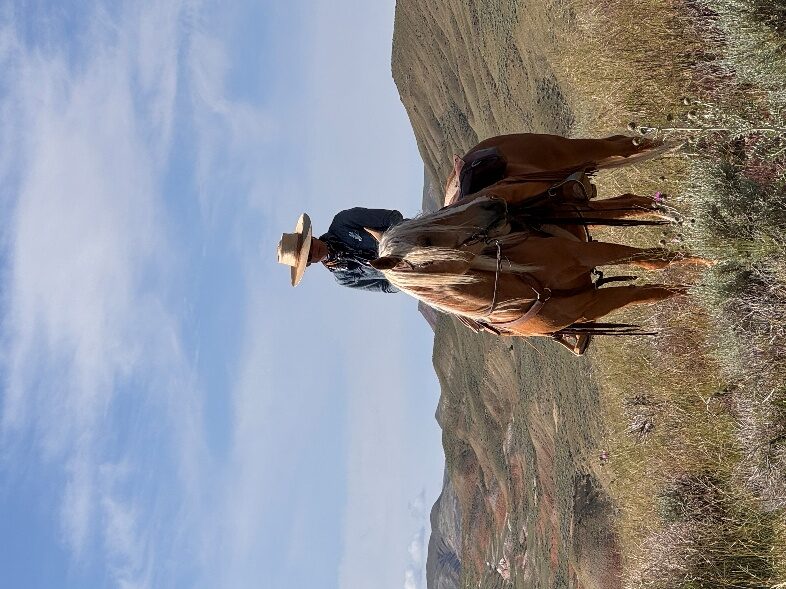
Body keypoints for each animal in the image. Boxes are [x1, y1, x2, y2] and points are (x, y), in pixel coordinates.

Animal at [368, 134, 709, 355]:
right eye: (426, 240)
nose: (493, 203)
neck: (525, 287)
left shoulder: (585, 253)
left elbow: (649, 260)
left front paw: (707, 263)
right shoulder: (596, 301)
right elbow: (654, 293)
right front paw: (693, 290)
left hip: (580, 152)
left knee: (627, 146)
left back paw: (690, 142)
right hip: (577, 205)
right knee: (634, 202)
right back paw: (673, 213)